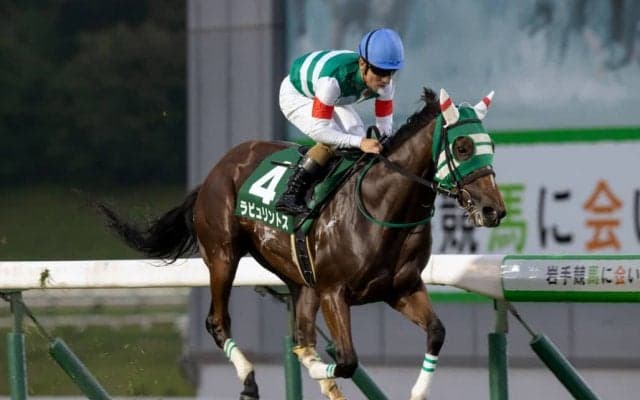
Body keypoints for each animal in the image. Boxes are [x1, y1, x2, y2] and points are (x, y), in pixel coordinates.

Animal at [96, 87, 506, 400]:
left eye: (491, 145)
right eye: (464, 147)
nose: (494, 210)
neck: (381, 205)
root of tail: (216, 169)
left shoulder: (401, 288)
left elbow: (435, 333)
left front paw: (417, 392)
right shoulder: (333, 291)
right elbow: (345, 360)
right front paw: (321, 370)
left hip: (299, 280)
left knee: (301, 335)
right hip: (223, 254)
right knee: (219, 322)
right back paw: (249, 381)